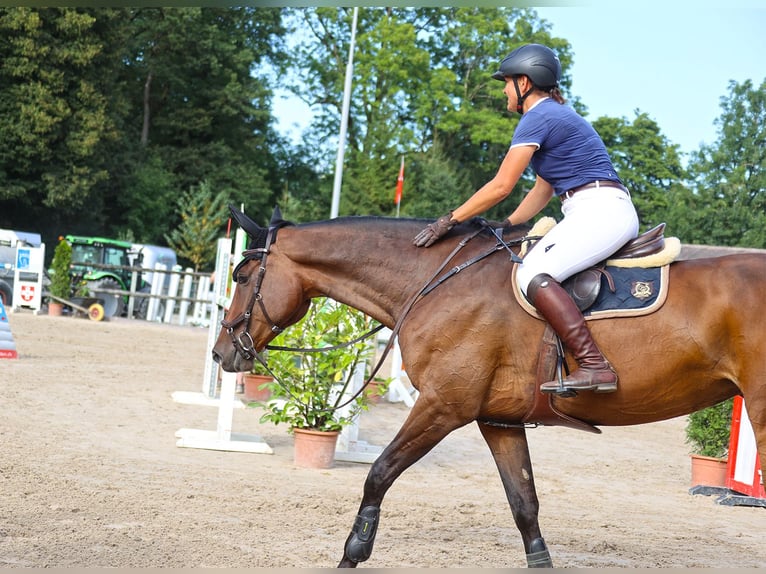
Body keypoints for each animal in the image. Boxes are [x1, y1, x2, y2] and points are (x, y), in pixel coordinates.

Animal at [212, 208, 766, 572]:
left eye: (242, 274)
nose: (222, 354)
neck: (436, 281)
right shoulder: (498, 420)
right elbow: (524, 504)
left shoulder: (442, 406)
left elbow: (379, 474)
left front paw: (353, 552)